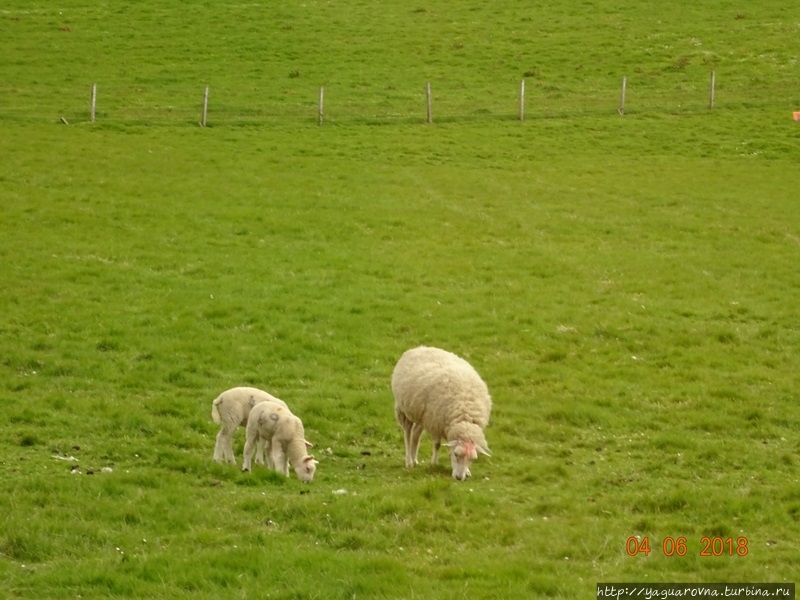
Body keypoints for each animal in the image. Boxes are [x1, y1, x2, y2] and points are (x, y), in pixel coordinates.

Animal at [390, 344, 490, 480]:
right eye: (456, 454)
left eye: (472, 459)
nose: (459, 478)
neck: (464, 417)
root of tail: (420, 347)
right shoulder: (435, 424)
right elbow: (437, 444)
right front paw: (434, 463)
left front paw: (468, 471)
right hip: (404, 410)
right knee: (407, 435)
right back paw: (409, 461)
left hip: (421, 415)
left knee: (416, 434)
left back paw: (415, 460)